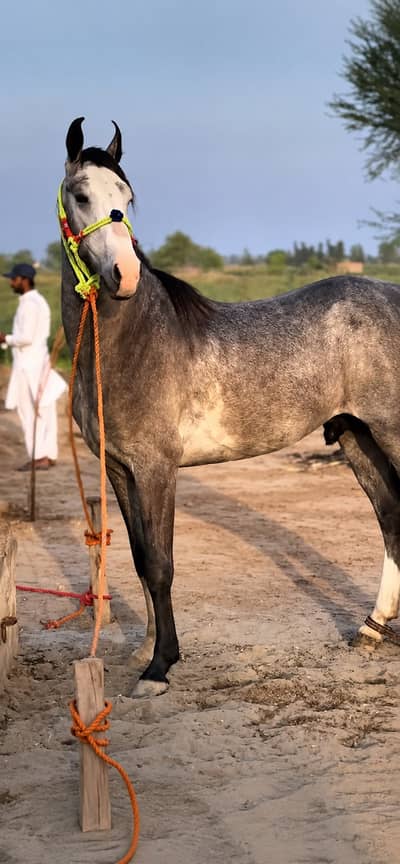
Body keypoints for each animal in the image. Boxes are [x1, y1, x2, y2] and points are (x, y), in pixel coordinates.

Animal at [60, 117, 400, 697]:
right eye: (81, 195)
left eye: (126, 196)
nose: (124, 274)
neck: (135, 339)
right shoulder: (121, 469)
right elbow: (139, 557)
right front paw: (145, 652)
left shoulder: (157, 468)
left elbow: (161, 564)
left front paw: (160, 667)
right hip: (358, 435)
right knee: (391, 516)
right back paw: (371, 629)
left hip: (391, 432)